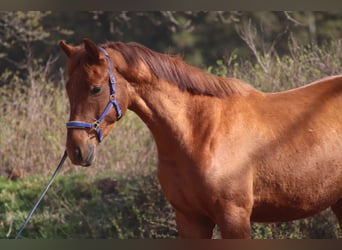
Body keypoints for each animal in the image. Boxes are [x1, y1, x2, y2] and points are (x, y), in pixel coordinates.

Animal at [60, 38, 342, 238]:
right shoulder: (190, 219)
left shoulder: (234, 218)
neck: (200, 133)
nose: (76, 149)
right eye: (68, 88)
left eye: (95, 88)